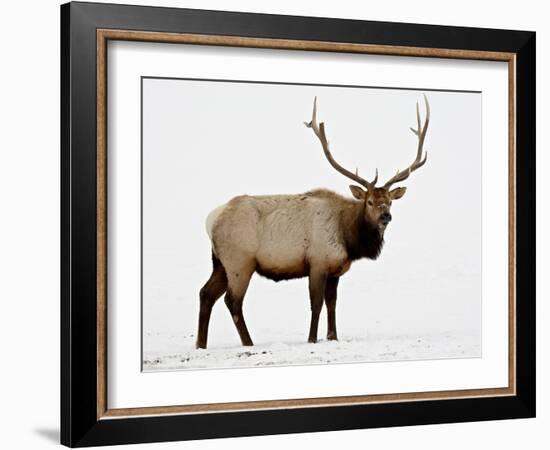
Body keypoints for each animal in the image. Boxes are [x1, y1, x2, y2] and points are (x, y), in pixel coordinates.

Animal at [196, 94, 434, 348]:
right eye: (369, 201)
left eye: (389, 201)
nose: (385, 216)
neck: (349, 238)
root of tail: (211, 219)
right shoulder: (318, 262)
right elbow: (316, 304)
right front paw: (312, 339)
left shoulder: (335, 270)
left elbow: (332, 304)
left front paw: (333, 336)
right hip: (240, 261)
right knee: (232, 301)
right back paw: (248, 342)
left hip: (220, 262)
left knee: (205, 293)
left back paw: (201, 344)